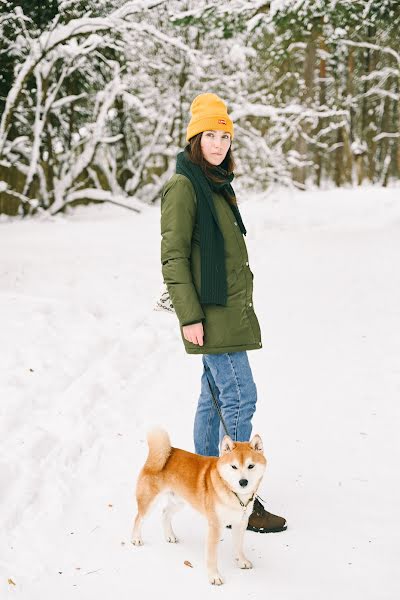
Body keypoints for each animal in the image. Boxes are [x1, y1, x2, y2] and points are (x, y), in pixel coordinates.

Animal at [130, 428, 266, 584]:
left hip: (178, 502)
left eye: (251, 466)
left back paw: (170, 535)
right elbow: (212, 556)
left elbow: (239, 546)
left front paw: (242, 561)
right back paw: (136, 539)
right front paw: (214, 576)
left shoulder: (240, 523)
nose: (243, 482)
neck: (235, 495)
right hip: (149, 502)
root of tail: (167, 451)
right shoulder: (215, 526)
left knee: (165, 514)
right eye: (234, 467)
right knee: (139, 518)